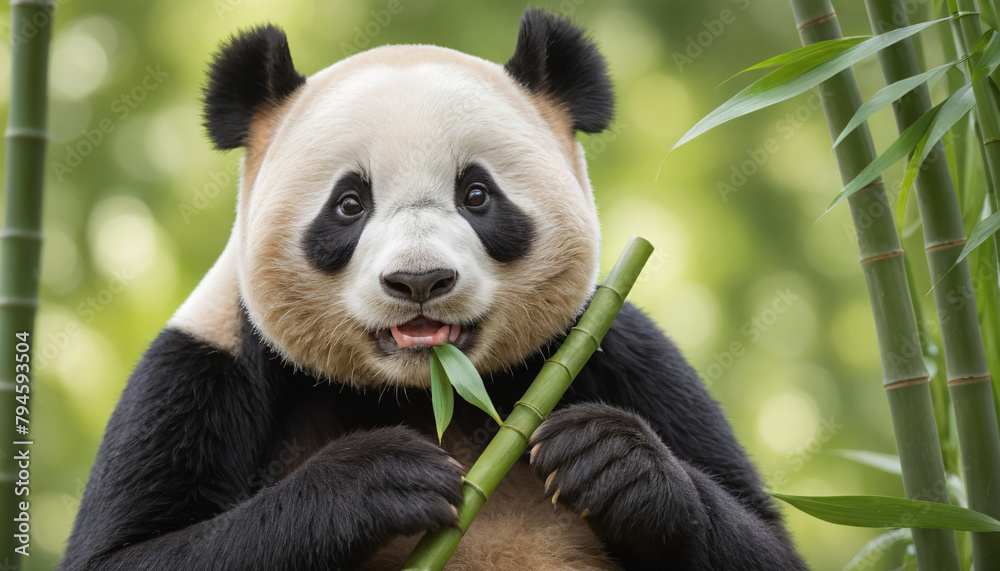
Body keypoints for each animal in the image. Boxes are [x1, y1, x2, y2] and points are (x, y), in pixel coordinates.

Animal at [61, 9, 805, 571]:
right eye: (349, 204)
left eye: (476, 194)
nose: (419, 280)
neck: (429, 396)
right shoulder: (203, 366)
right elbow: (127, 552)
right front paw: (380, 478)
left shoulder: (618, 352)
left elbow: (765, 541)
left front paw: (610, 458)